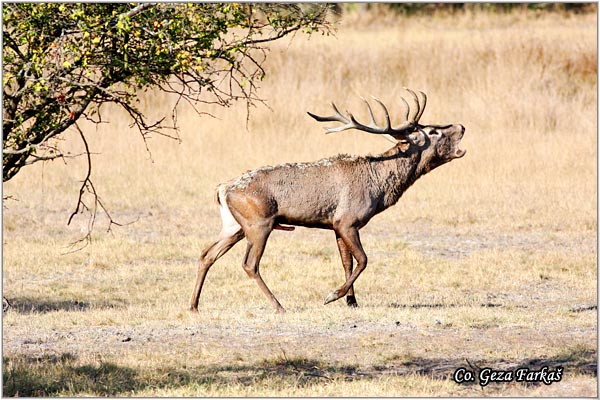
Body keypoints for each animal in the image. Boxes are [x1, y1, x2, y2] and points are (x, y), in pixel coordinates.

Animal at [190, 89, 466, 314]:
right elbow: (363, 259)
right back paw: (278, 306)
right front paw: (333, 295)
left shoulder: (336, 224)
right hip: (259, 223)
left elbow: (347, 262)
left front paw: (352, 302)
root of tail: (222, 189)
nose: (461, 126)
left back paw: (193, 305)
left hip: (234, 225)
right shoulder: (347, 220)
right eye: (433, 131)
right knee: (249, 264)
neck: (378, 185)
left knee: (207, 254)